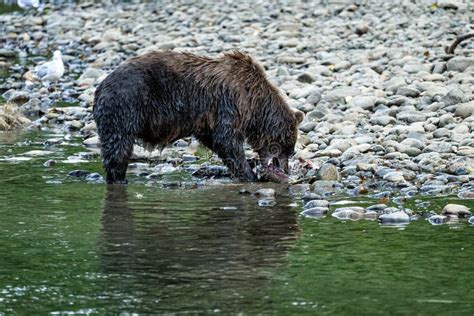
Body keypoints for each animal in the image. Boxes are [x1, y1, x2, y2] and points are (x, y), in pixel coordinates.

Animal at [93, 50, 304, 184]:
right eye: (288, 149)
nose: (286, 170)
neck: (254, 103)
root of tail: (101, 86)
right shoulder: (229, 102)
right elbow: (227, 140)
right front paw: (249, 174)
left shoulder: (207, 118)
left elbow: (215, 140)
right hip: (126, 105)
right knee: (118, 148)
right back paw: (119, 178)